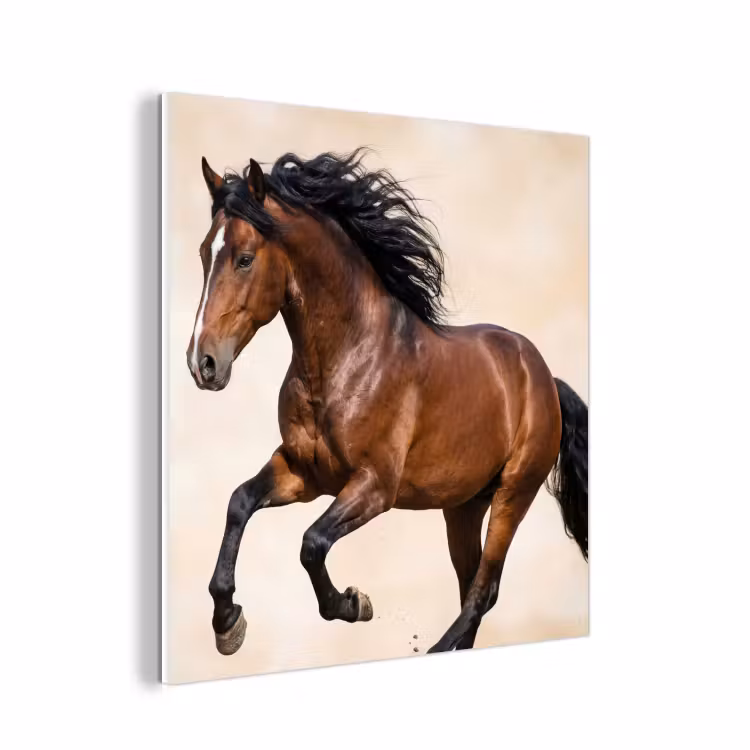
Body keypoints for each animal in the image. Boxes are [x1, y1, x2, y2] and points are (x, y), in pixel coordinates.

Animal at [186, 148, 588, 656]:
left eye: (243, 259)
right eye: (204, 253)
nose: (202, 363)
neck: (347, 359)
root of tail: (544, 378)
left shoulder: (375, 486)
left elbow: (312, 543)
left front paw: (353, 603)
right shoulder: (303, 472)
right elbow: (239, 502)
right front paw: (227, 623)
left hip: (514, 493)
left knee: (484, 591)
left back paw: (434, 647)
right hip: (463, 505)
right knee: (471, 587)